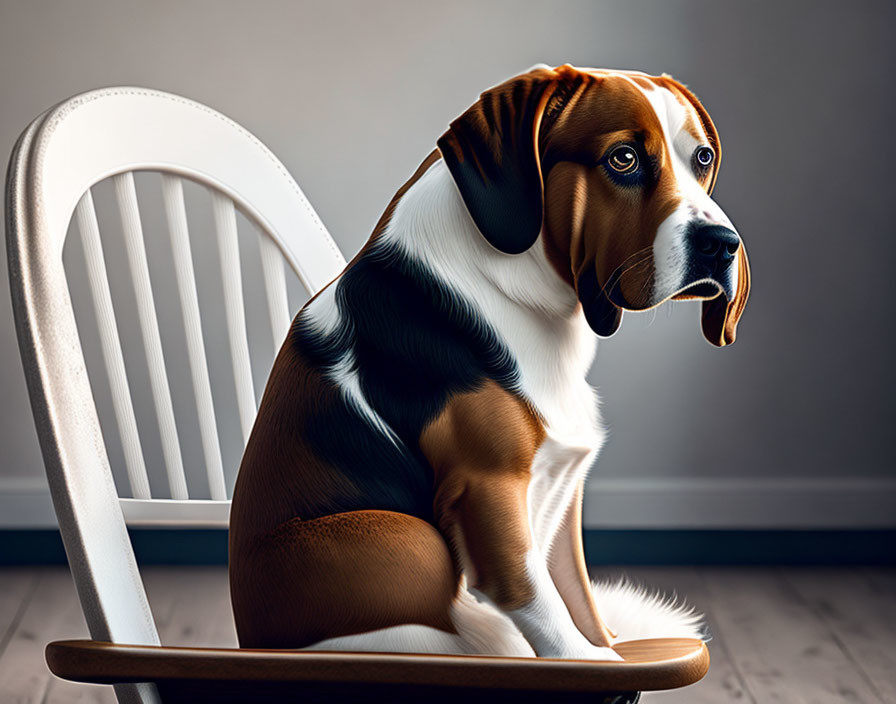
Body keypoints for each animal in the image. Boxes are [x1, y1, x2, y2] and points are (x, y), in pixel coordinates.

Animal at [229, 62, 748, 660]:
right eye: (623, 159)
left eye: (702, 158)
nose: (722, 243)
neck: (521, 289)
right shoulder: (488, 492)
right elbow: (542, 607)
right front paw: (588, 660)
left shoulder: (560, 497)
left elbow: (578, 599)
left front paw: (608, 645)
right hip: (407, 537)